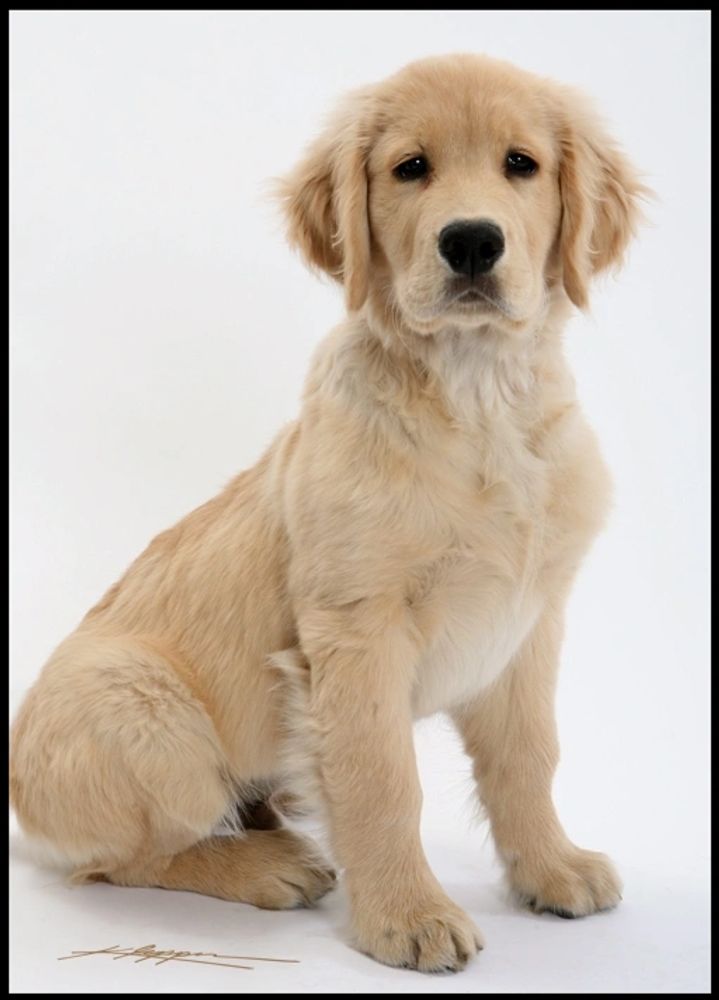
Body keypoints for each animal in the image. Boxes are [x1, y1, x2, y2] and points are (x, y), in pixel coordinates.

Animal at [9, 52, 648, 968]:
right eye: (410, 167)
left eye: (520, 164)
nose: (471, 241)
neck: (478, 400)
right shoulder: (357, 629)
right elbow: (383, 781)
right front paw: (406, 917)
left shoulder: (528, 624)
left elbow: (529, 756)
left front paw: (550, 868)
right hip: (146, 715)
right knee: (116, 859)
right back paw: (265, 862)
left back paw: (277, 818)